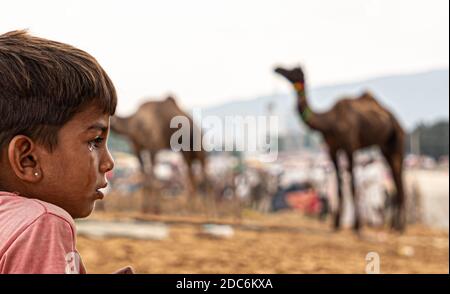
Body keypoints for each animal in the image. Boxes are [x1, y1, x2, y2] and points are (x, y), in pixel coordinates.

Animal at [274, 66, 408, 232]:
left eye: (293, 70)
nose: (277, 68)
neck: (330, 122)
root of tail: (397, 121)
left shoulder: (350, 145)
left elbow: (352, 184)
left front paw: (357, 225)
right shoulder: (332, 148)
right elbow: (338, 183)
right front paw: (336, 223)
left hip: (397, 140)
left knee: (398, 177)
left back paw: (400, 227)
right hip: (385, 147)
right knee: (396, 179)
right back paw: (394, 226)